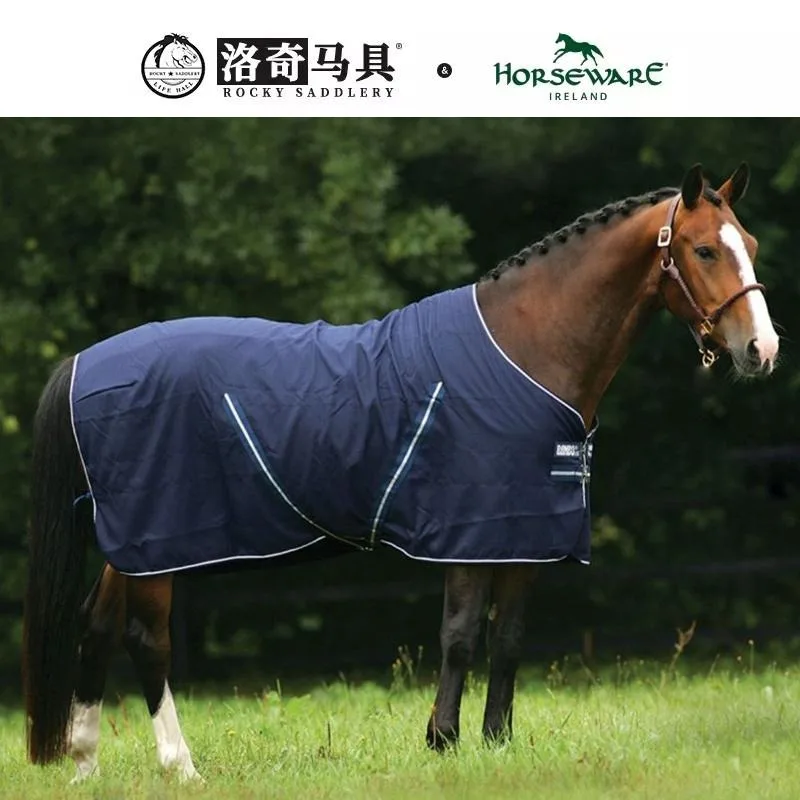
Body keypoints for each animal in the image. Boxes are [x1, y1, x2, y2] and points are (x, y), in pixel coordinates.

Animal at [22, 163, 779, 782]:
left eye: (751, 244)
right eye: (704, 249)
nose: (762, 349)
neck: (525, 350)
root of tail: (86, 361)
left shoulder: (526, 532)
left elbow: (507, 640)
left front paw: (497, 745)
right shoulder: (474, 528)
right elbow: (460, 636)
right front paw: (442, 742)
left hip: (130, 542)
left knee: (95, 625)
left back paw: (85, 763)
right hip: (161, 540)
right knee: (146, 639)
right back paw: (181, 768)